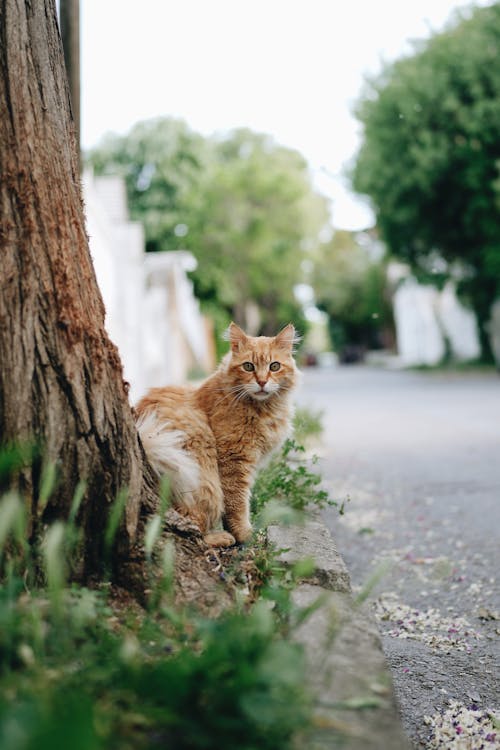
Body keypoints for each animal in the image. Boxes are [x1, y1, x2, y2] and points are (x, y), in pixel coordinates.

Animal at [135, 322, 298, 548]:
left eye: (274, 366)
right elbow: (238, 505)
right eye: (248, 367)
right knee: (191, 530)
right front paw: (245, 535)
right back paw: (221, 537)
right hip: (202, 479)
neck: (263, 408)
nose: (262, 382)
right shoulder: (235, 460)